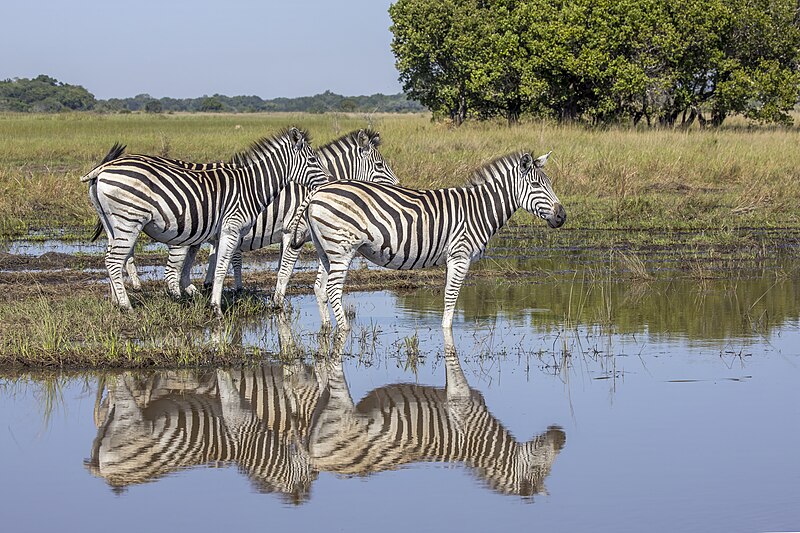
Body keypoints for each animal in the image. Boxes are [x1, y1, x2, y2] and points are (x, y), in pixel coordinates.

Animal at [81, 126, 332, 314]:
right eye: (312, 159)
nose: (329, 183)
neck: (251, 187)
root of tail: (103, 168)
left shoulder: (221, 234)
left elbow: (220, 266)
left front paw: (212, 299)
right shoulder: (232, 228)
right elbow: (222, 268)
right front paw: (217, 308)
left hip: (113, 224)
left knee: (111, 259)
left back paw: (116, 301)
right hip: (129, 221)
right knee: (115, 261)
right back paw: (127, 306)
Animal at [284, 150, 564, 330]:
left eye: (550, 183)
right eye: (537, 186)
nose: (562, 216)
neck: (478, 209)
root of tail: (317, 191)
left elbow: (449, 298)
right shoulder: (460, 255)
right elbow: (451, 298)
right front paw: (447, 333)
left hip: (325, 249)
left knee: (319, 288)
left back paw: (327, 329)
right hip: (342, 248)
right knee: (332, 289)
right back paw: (343, 331)